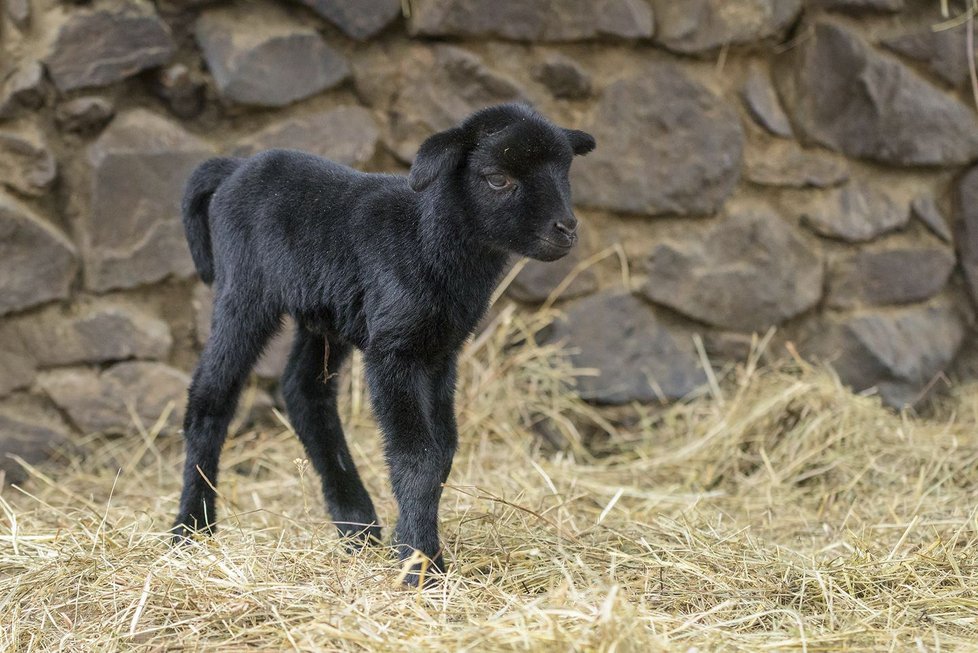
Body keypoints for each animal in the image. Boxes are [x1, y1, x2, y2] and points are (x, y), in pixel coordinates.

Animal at [172, 103, 592, 584]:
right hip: (242, 289)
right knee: (211, 396)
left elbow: (443, 451)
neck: (424, 240)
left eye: (565, 171)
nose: (565, 229)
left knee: (304, 391)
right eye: (497, 179)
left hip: (324, 312)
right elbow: (417, 455)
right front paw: (420, 565)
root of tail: (234, 168)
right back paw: (191, 529)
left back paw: (357, 525)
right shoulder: (393, 350)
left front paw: (408, 543)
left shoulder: (440, 351)